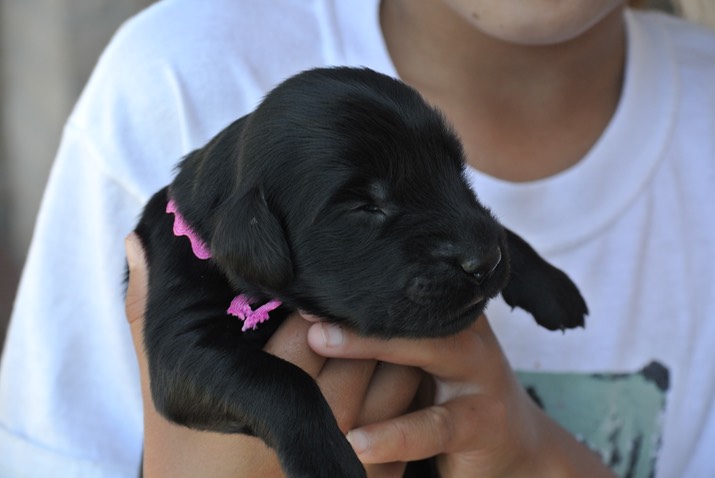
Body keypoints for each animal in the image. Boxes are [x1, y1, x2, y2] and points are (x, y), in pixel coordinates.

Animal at [134, 68, 588, 478]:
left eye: (456, 172)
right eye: (366, 206)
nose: (485, 262)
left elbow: (498, 227)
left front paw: (550, 285)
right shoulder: (185, 345)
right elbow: (283, 381)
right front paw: (329, 462)